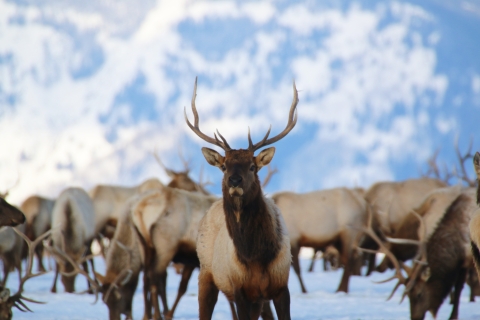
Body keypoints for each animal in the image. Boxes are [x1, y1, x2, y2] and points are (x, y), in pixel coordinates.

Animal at [186, 78, 294, 320]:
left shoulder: (281, 288)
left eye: (252, 166)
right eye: (224, 166)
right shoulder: (240, 290)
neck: (257, 257)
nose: (234, 181)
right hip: (207, 274)